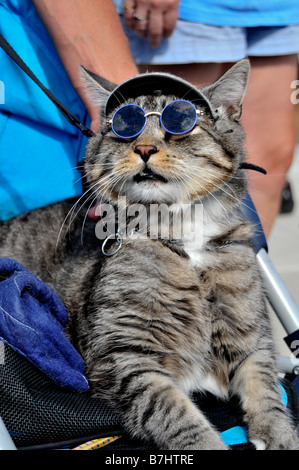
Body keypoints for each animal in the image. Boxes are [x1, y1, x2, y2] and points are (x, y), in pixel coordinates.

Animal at [1, 60, 298, 450]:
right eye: (124, 129)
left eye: (181, 124)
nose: (143, 148)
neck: (182, 231)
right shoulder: (125, 358)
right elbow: (175, 414)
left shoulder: (251, 337)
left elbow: (265, 386)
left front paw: (279, 435)